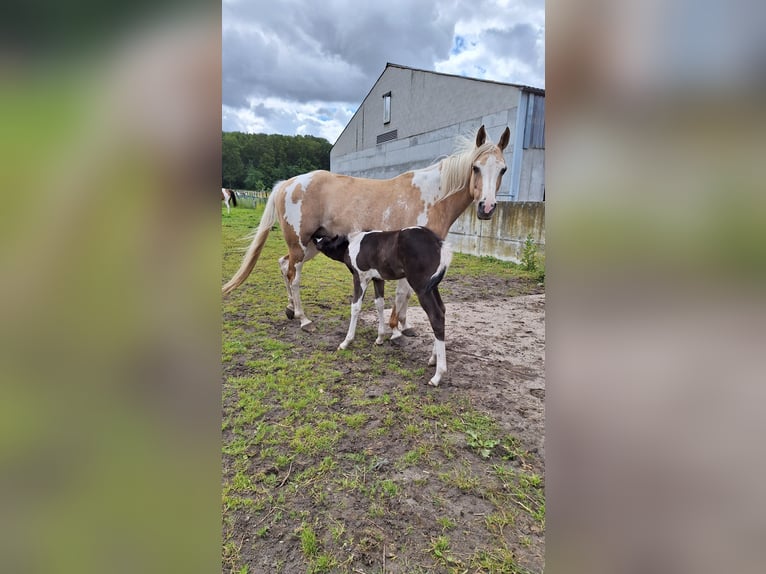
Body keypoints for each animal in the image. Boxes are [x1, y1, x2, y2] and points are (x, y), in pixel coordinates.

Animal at [222, 126, 510, 332]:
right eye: (475, 167)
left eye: (503, 170)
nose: (487, 207)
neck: (433, 197)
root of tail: (286, 184)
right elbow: (403, 293)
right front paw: (396, 328)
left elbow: (404, 294)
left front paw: (402, 325)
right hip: (300, 245)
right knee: (294, 276)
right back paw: (303, 319)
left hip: (310, 246)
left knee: (283, 265)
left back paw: (291, 310)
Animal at [314, 226, 452, 388]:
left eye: (324, 240)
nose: (313, 238)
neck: (352, 243)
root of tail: (438, 242)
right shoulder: (378, 278)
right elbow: (379, 304)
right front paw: (380, 337)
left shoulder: (360, 277)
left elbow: (355, 307)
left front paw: (346, 342)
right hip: (432, 286)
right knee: (442, 310)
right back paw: (433, 358)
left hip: (421, 287)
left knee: (435, 315)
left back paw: (438, 375)